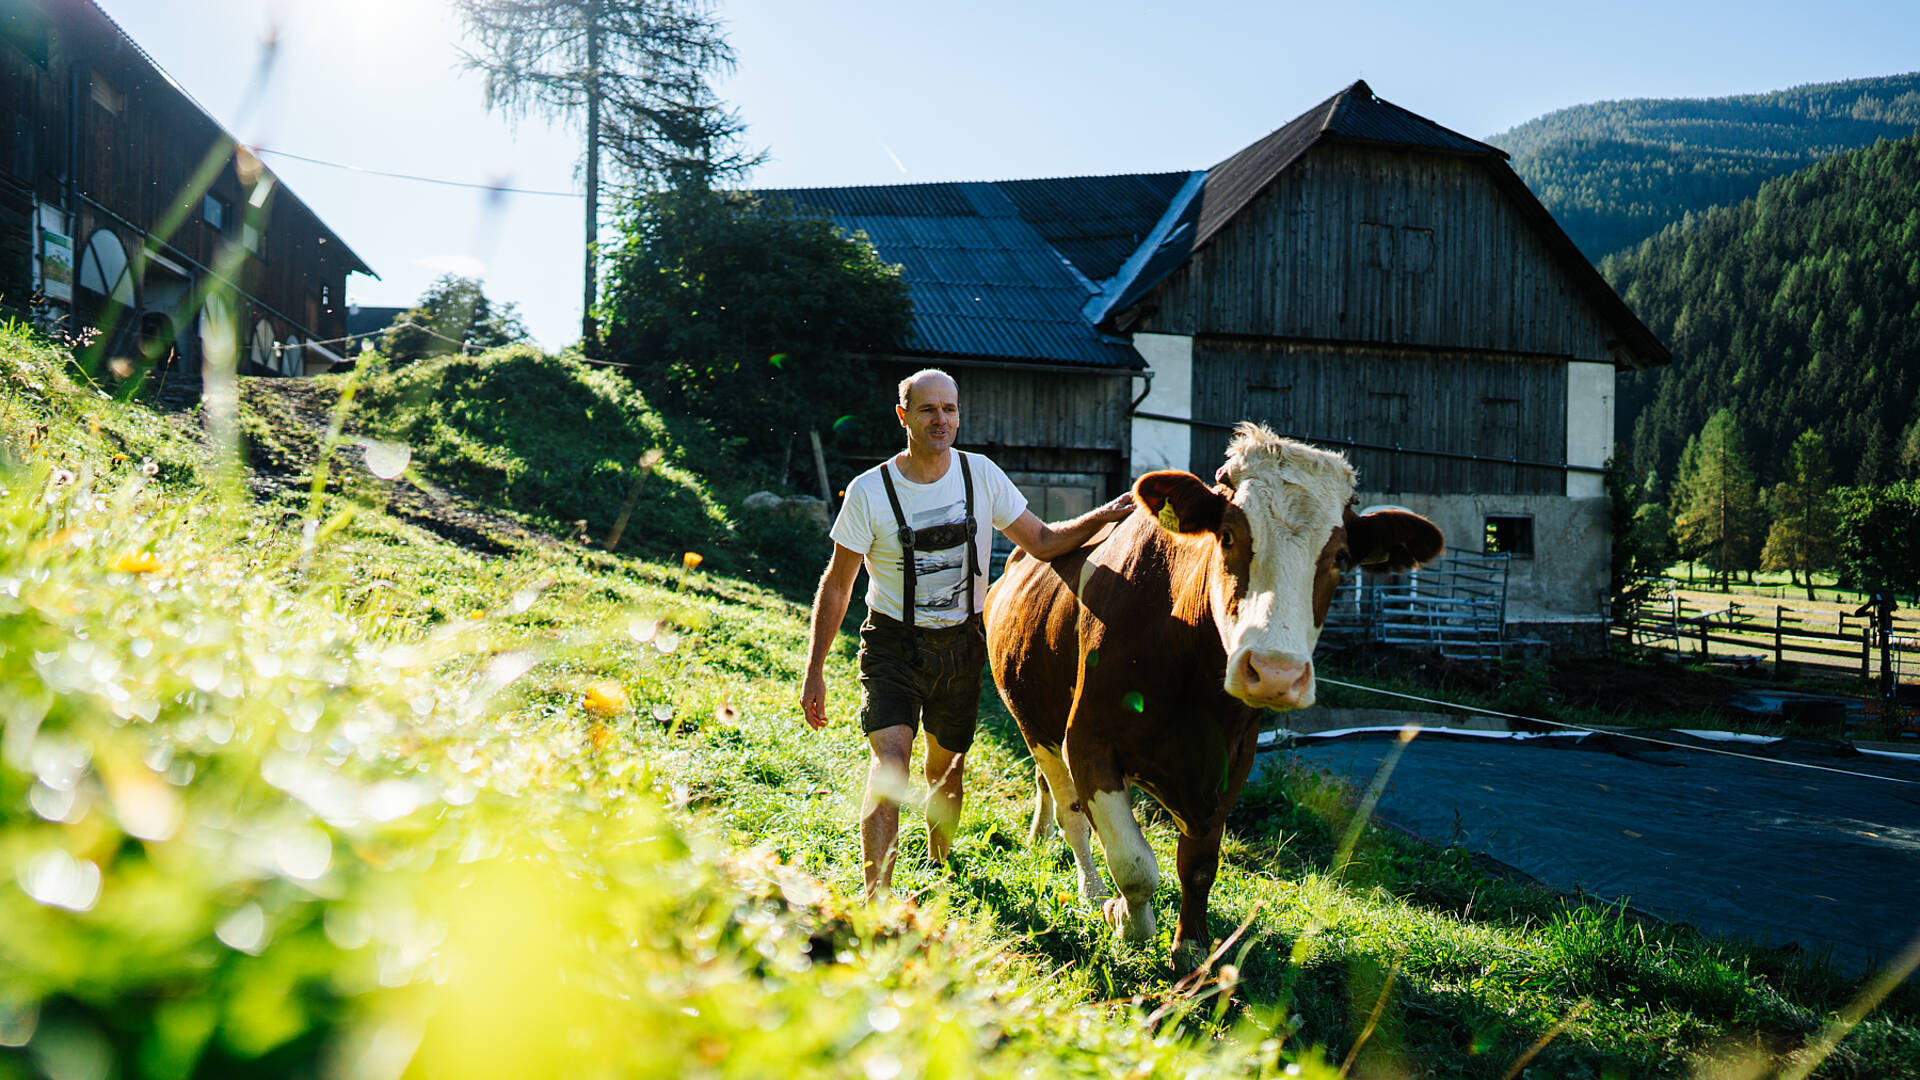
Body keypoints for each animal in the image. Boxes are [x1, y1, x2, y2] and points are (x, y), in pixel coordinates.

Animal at [990, 420, 1443, 968]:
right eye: (1227, 535)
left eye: (1340, 557)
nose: (1274, 672)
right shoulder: (1088, 740)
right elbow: (1134, 863)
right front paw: (1125, 918)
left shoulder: (1233, 761)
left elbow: (1200, 862)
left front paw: (1191, 946)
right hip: (1032, 721)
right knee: (1070, 810)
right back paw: (1093, 890)